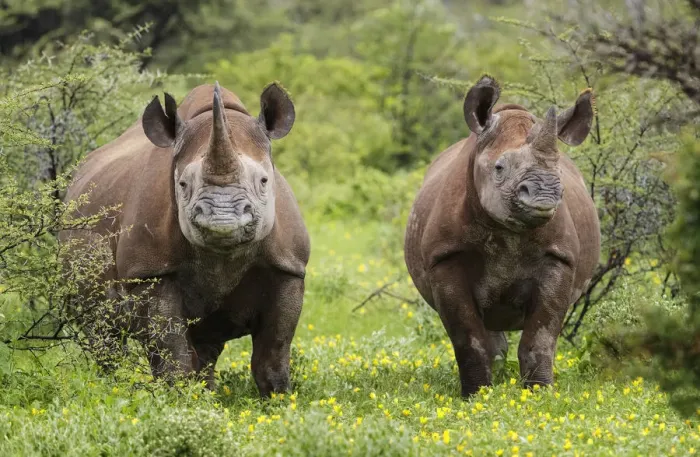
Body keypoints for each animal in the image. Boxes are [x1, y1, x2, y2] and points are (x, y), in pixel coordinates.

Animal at [61, 82, 309, 396]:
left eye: (265, 181)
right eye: (182, 185)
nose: (222, 219)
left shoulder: (289, 266)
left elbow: (274, 352)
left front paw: (278, 399)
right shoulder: (150, 271)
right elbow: (170, 349)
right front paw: (177, 399)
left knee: (208, 342)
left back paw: (207, 394)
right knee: (103, 332)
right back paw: (109, 387)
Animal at [404, 76, 600, 395]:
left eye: (559, 171)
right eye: (499, 168)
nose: (545, 193)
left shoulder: (560, 256)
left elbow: (540, 336)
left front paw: (540, 393)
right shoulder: (445, 257)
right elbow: (467, 335)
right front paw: (476, 395)